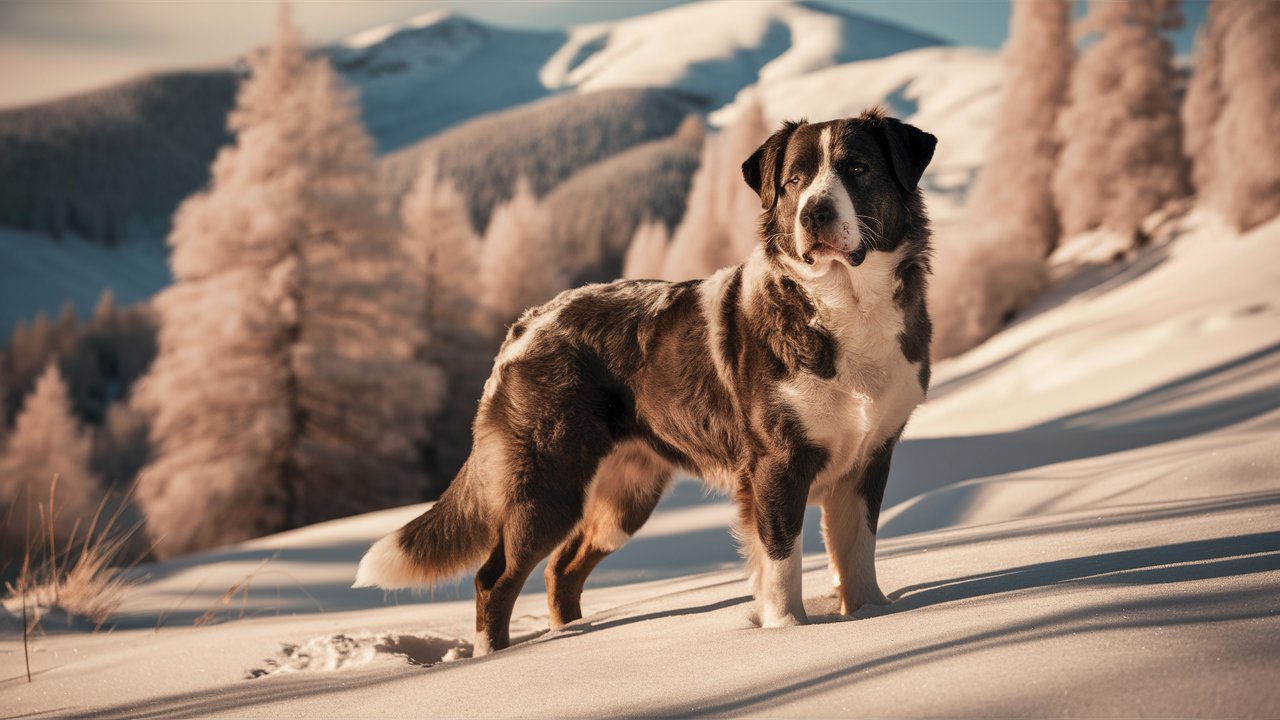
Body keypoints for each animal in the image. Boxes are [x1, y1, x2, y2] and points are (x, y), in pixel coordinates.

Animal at [355, 107, 936, 655]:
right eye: (795, 180)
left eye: (857, 169)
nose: (814, 212)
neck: (843, 304)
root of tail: (528, 322)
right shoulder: (777, 465)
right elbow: (781, 563)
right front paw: (787, 631)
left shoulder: (869, 459)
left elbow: (858, 553)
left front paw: (872, 616)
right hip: (549, 481)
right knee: (494, 578)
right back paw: (492, 657)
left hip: (624, 496)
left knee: (561, 568)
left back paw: (572, 635)